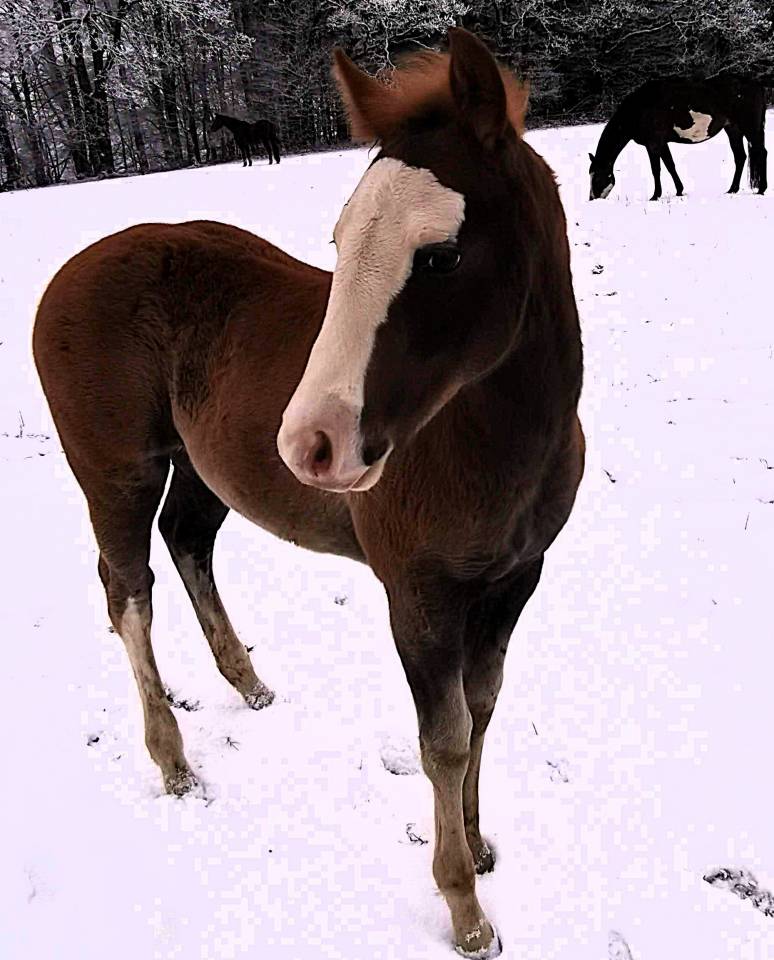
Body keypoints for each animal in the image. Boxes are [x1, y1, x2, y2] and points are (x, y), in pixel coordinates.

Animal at [33, 29, 584, 958]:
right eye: (340, 239)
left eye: (440, 256)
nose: (309, 444)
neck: (492, 441)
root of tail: (69, 272)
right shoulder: (417, 595)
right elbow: (443, 739)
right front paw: (465, 908)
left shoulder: (517, 578)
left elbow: (483, 709)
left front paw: (478, 844)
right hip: (116, 470)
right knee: (128, 589)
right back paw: (172, 757)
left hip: (201, 466)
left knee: (188, 540)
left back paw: (247, 680)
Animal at [589, 76, 767, 200]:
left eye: (597, 177)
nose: (592, 199)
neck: (640, 109)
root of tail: (757, 85)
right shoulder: (662, 144)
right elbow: (670, 166)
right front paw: (679, 191)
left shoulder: (653, 145)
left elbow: (656, 170)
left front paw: (655, 196)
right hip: (733, 129)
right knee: (740, 157)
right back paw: (732, 190)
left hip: (750, 128)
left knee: (761, 153)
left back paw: (761, 190)